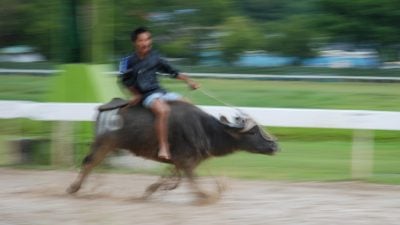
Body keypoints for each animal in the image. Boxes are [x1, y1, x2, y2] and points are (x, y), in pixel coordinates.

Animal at [67, 98, 278, 200]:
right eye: (252, 132)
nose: (274, 145)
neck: (204, 129)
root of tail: (104, 108)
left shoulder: (181, 161)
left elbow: (171, 176)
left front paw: (150, 190)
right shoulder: (186, 161)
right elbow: (191, 180)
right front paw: (205, 195)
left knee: (90, 164)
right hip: (103, 144)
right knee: (88, 163)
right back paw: (73, 188)